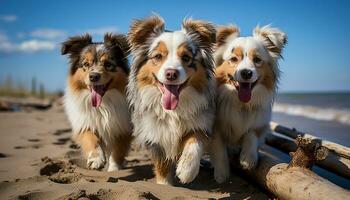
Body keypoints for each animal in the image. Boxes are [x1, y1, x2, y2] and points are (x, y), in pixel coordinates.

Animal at [61, 33, 133, 171]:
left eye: (108, 64)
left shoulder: (123, 125)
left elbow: (118, 149)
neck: (103, 104)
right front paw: (96, 160)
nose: (93, 76)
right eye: (86, 64)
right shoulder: (84, 122)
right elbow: (90, 138)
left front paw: (114, 169)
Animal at [127, 15, 217, 184]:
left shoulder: (201, 121)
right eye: (158, 56)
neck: (173, 111)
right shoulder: (155, 135)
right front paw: (165, 184)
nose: (171, 73)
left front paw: (187, 171)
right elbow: (162, 166)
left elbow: (195, 140)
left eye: (186, 57)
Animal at [211, 23, 288, 183]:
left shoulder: (260, 121)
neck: (241, 104)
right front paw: (221, 173)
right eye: (234, 59)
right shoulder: (214, 126)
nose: (246, 73)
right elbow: (219, 148)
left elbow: (251, 133)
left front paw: (248, 159)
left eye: (257, 59)